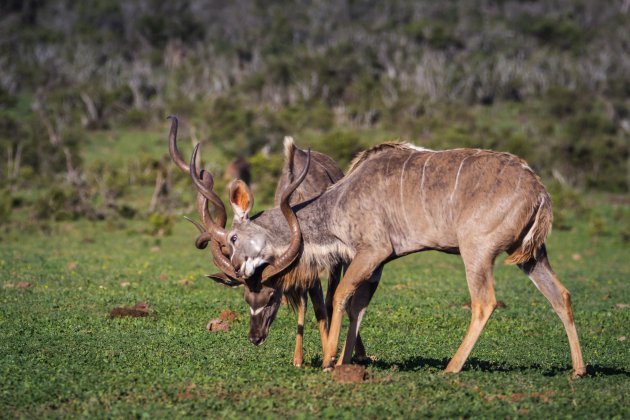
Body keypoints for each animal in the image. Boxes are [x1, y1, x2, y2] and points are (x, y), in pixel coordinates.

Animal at [170, 116, 370, 366]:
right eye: (247, 299)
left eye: (271, 297)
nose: (255, 337)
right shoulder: (304, 271)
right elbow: (308, 304)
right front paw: (299, 360)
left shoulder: (329, 261)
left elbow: (325, 306)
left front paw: (330, 359)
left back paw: (358, 353)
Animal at [186, 139, 588, 378]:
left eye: (234, 238)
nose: (237, 270)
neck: (338, 203)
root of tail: (539, 190)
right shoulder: (378, 263)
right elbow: (357, 306)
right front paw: (347, 361)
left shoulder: (373, 252)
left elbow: (339, 297)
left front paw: (329, 361)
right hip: (532, 256)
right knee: (561, 296)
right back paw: (578, 370)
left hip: (477, 250)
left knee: (484, 302)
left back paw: (451, 368)